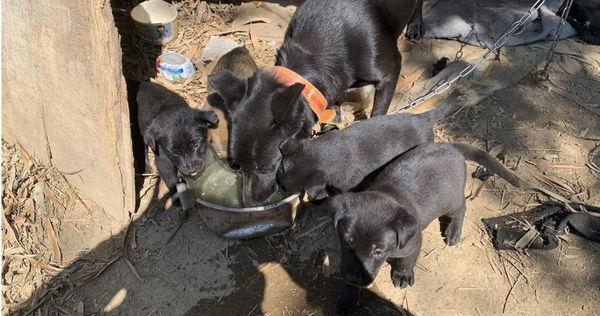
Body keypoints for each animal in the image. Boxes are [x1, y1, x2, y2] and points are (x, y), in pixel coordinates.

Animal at [209, 0, 424, 207]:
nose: (248, 204)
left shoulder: (390, 74)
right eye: (236, 164)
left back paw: (416, 23)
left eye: (265, 167)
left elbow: (378, 113)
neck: (311, 54)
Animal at [276, 103, 454, 202]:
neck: (323, 154)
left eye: (291, 187)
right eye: (280, 169)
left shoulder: (349, 185)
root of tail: (423, 118)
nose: (278, 185)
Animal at [322, 143, 524, 314]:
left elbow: (405, 263)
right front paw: (348, 298)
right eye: (347, 244)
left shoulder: (412, 245)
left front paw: (402, 276)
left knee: (461, 208)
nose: (353, 279)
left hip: (451, 199)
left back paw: (454, 231)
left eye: (378, 252)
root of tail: (451, 145)